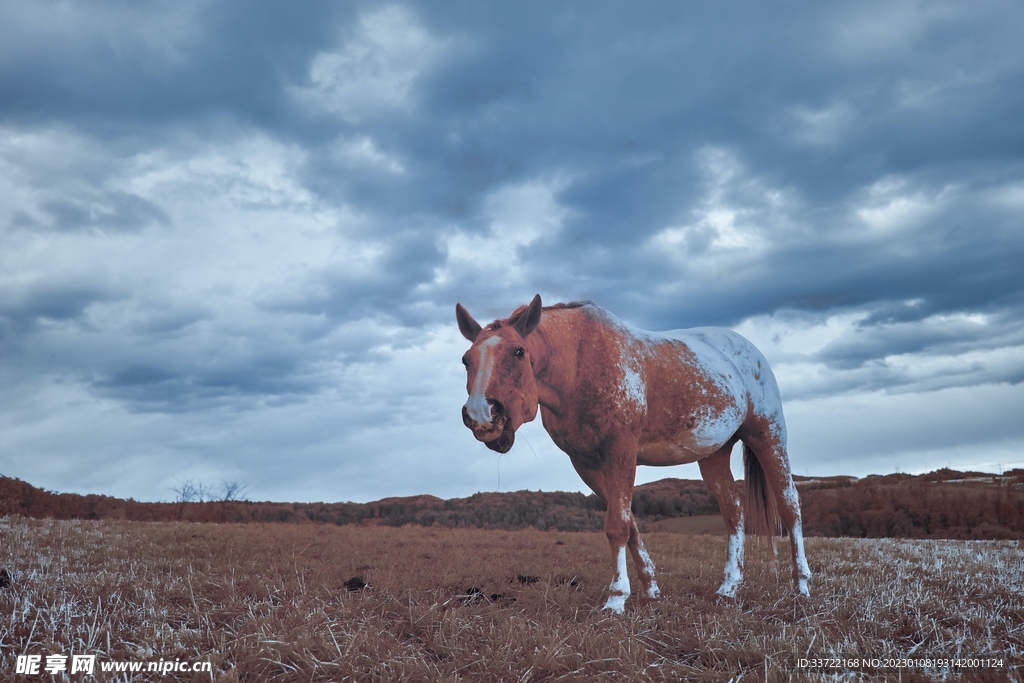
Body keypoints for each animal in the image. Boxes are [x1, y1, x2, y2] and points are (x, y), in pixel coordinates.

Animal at [456, 294, 811, 613]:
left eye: (518, 352)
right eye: (466, 359)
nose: (481, 415)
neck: (579, 364)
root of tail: (749, 350)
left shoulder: (621, 453)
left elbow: (618, 526)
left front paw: (616, 599)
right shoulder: (586, 464)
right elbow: (630, 524)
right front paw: (651, 590)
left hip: (768, 436)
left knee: (789, 505)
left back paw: (801, 586)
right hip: (714, 453)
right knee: (734, 511)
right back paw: (729, 587)